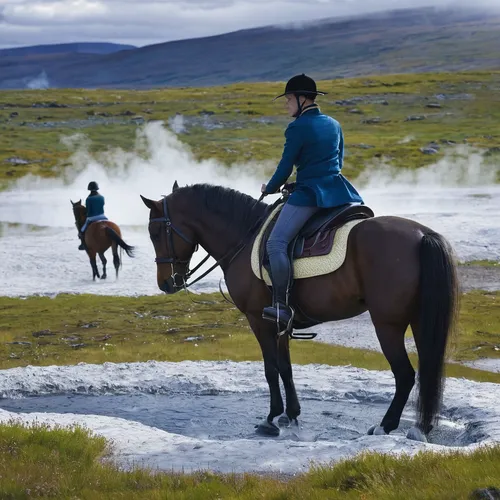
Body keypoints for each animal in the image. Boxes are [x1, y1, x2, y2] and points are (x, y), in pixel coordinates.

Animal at [140, 183, 458, 442]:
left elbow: (270, 369)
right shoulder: (281, 321)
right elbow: (286, 367)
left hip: (387, 324)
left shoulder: (258, 319)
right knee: (427, 370)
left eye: (155, 232)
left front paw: (271, 418)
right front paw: (290, 414)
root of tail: (423, 234)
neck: (244, 235)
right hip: (419, 321)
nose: (166, 283)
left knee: (405, 374)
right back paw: (421, 427)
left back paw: (385, 426)